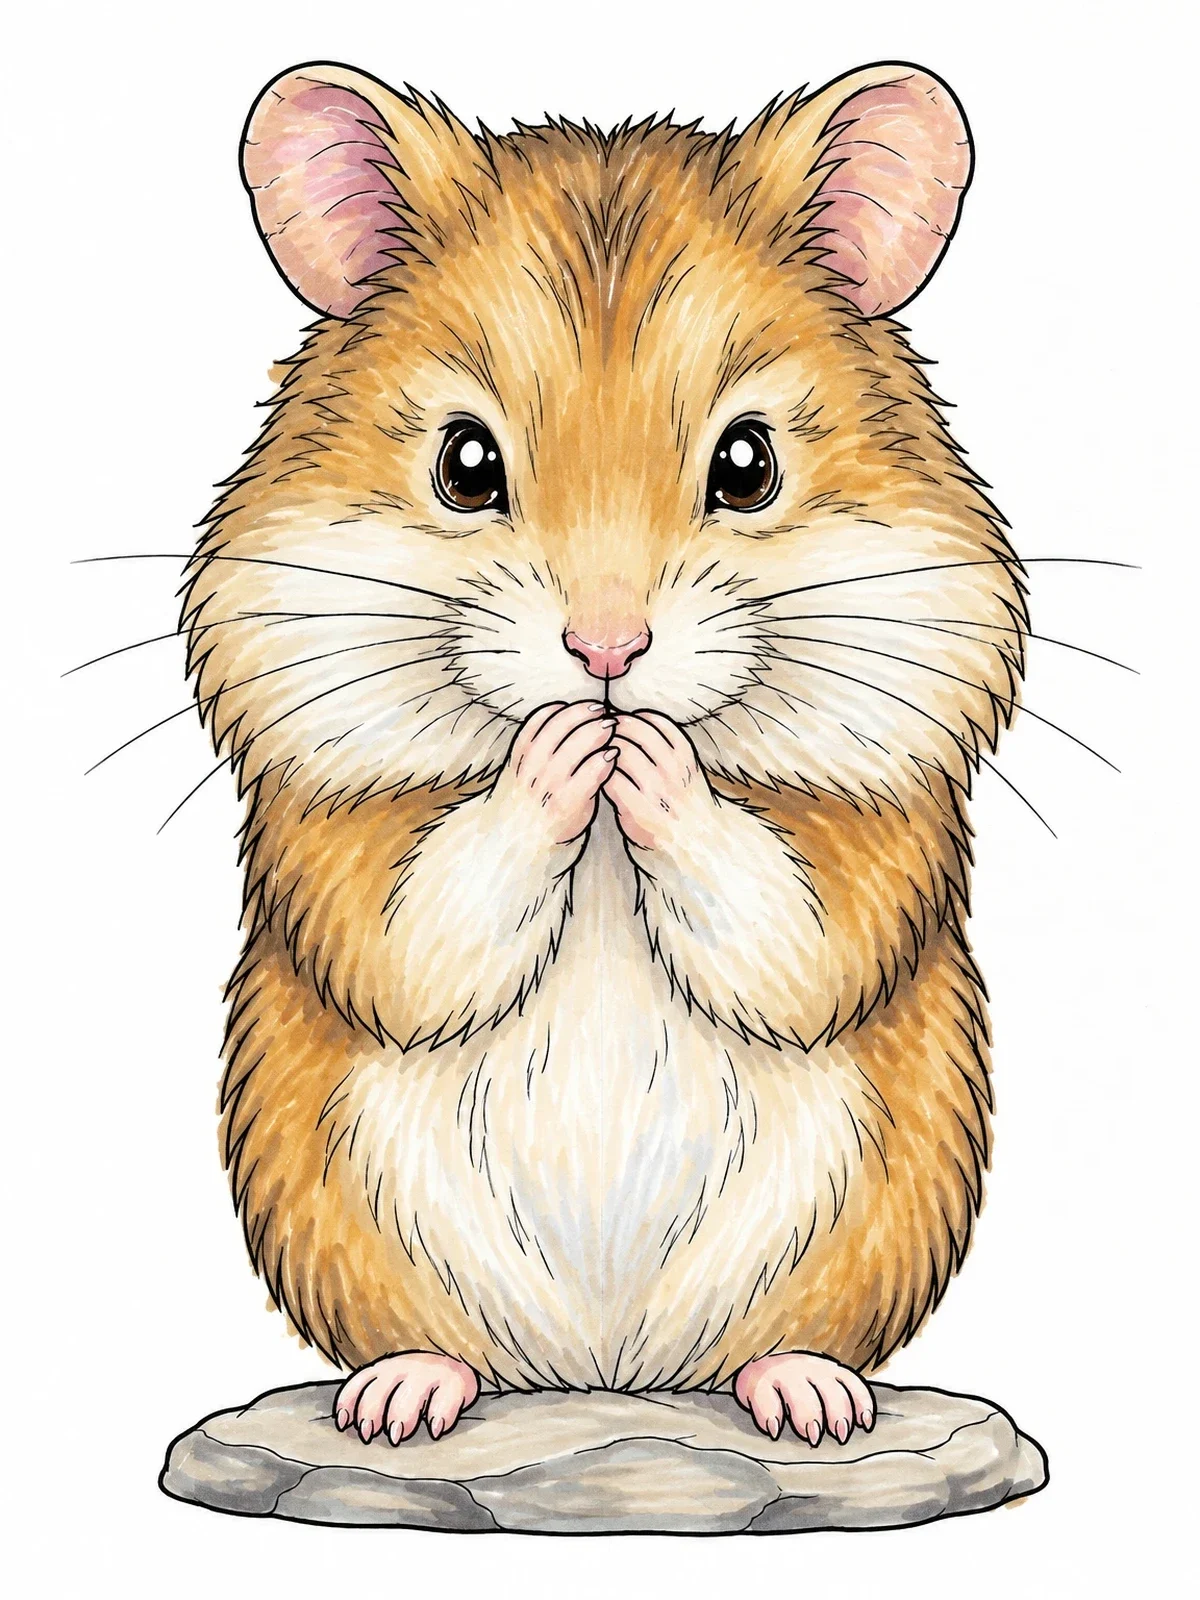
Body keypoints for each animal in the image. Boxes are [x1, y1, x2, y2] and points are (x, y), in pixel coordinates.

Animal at [183, 60, 1024, 1447]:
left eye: (749, 463)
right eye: (465, 464)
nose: (608, 651)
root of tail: (607, 1372)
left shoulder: (883, 835)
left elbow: (792, 929)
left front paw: (646, 764)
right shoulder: (329, 831)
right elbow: (420, 927)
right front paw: (568, 753)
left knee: (781, 1341)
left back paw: (810, 1402)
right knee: (436, 1343)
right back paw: (401, 1402)